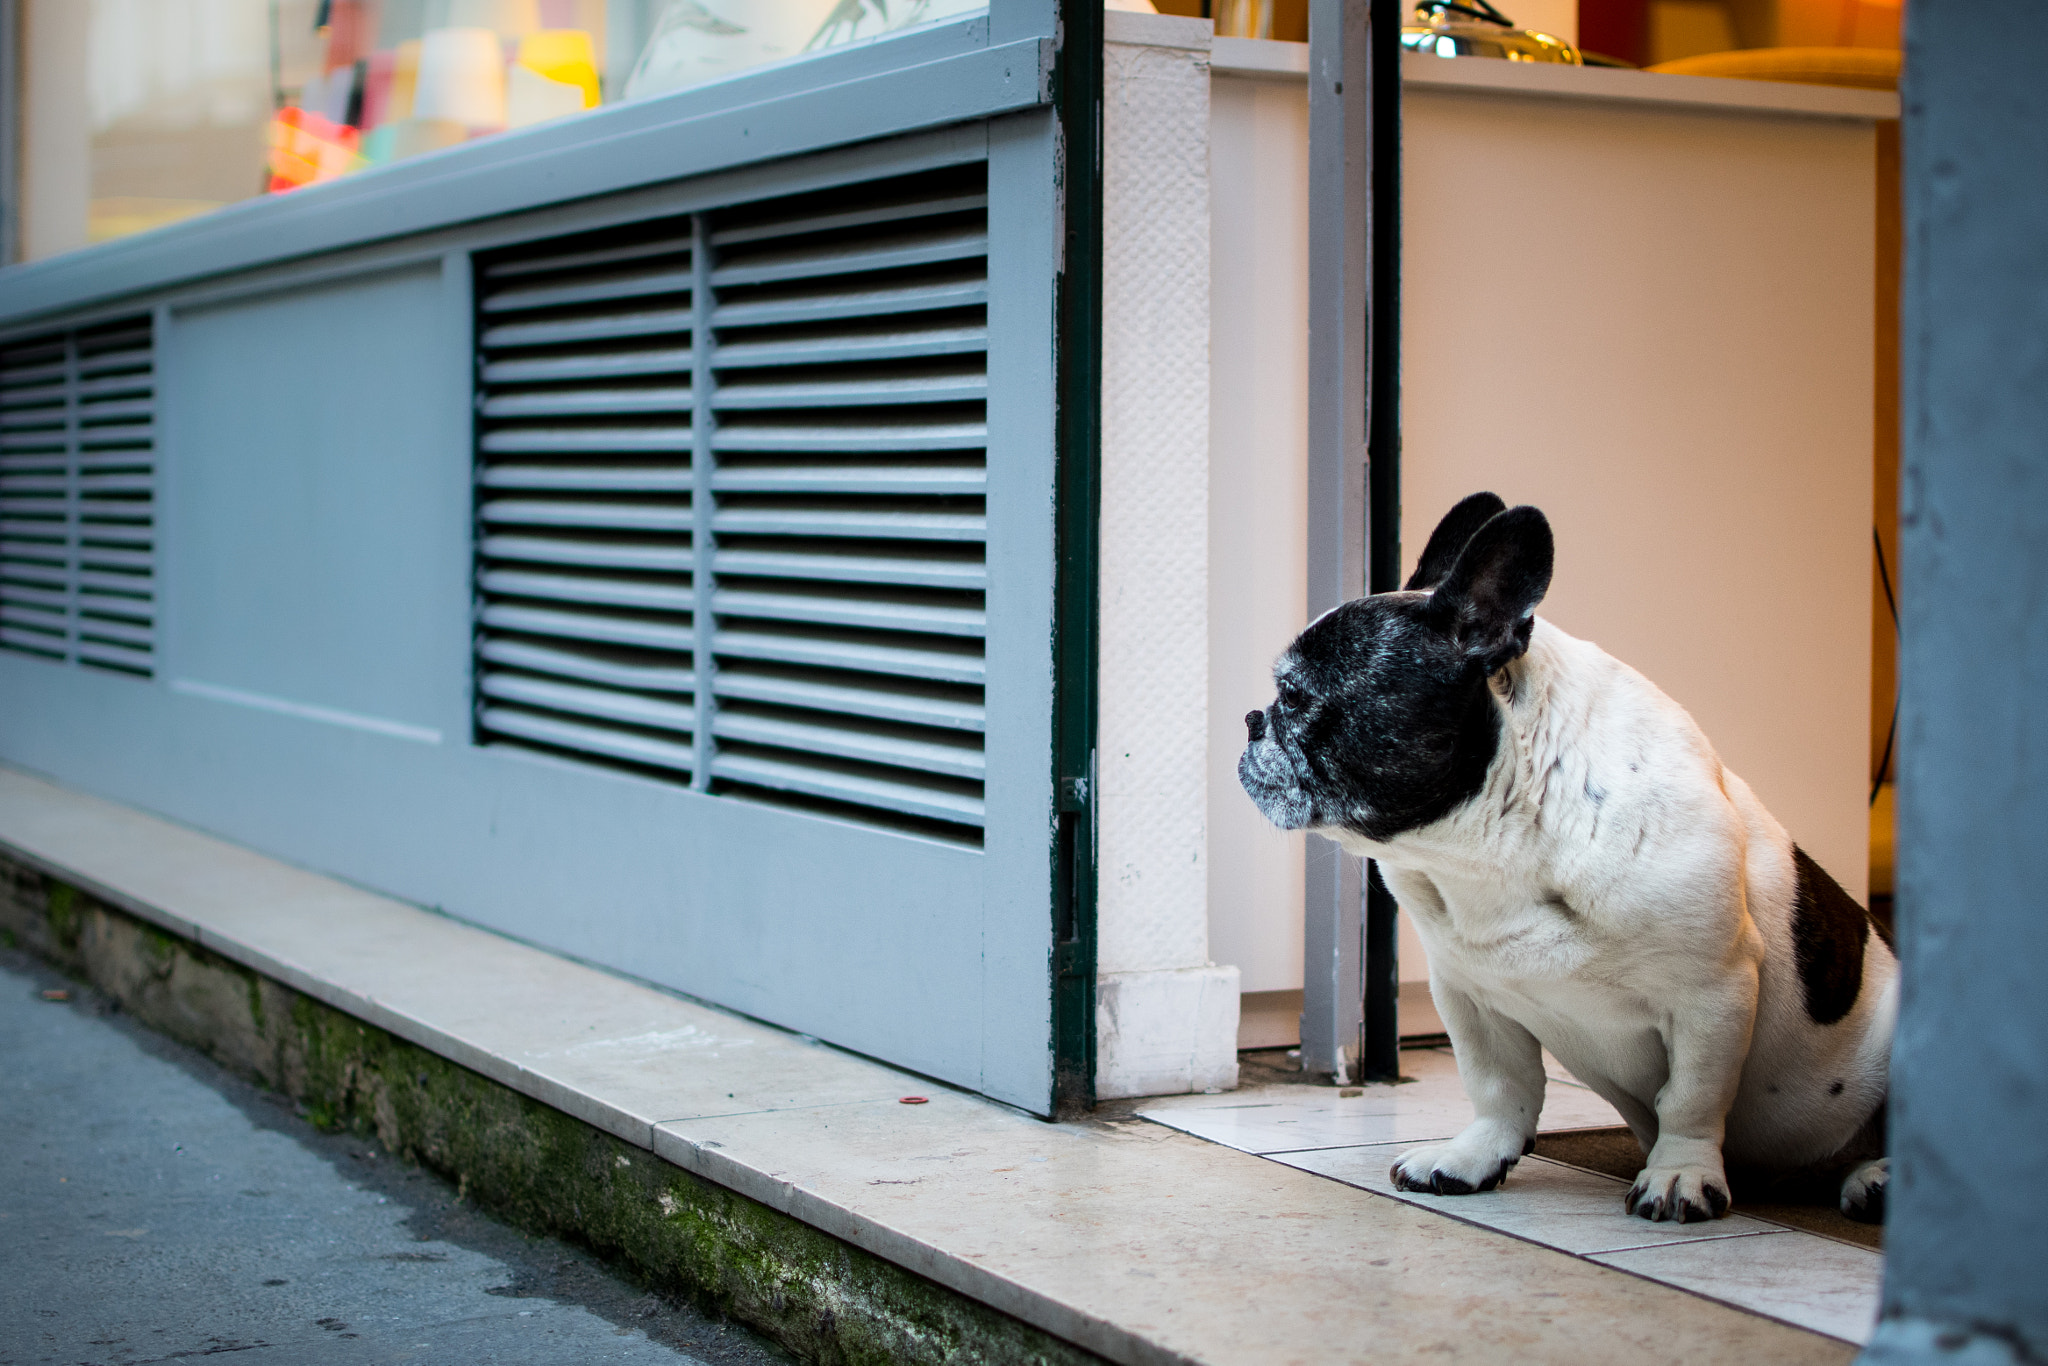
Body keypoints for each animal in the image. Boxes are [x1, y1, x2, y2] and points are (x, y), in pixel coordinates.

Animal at [1236, 497, 1892, 1220]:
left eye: (1296, 696)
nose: (1251, 720)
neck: (1495, 844)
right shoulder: (1468, 992)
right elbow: (1500, 1085)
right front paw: (1473, 1158)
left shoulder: (1713, 994)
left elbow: (1691, 1098)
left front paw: (1680, 1174)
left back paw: (1876, 1177)